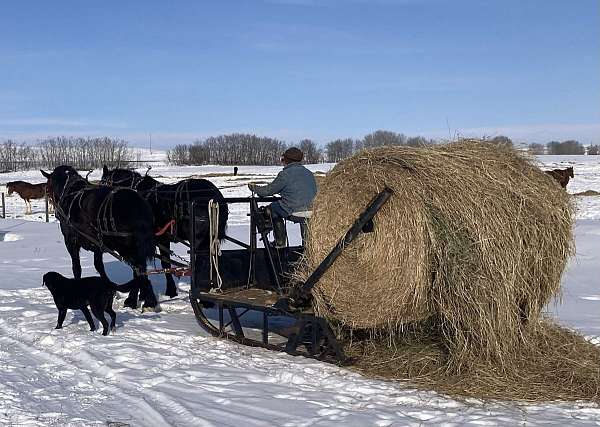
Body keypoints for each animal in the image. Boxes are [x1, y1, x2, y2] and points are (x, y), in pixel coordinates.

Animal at [42, 166, 159, 310]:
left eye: (48, 187)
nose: (54, 210)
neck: (70, 193)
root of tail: (137, 206)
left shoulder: (71, 242)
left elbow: (79, 267)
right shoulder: (97, 244)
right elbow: (98, 265)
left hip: (126, 247)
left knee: (138, 269)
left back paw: (143, 300)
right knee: (139, 269)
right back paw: (141, 299)